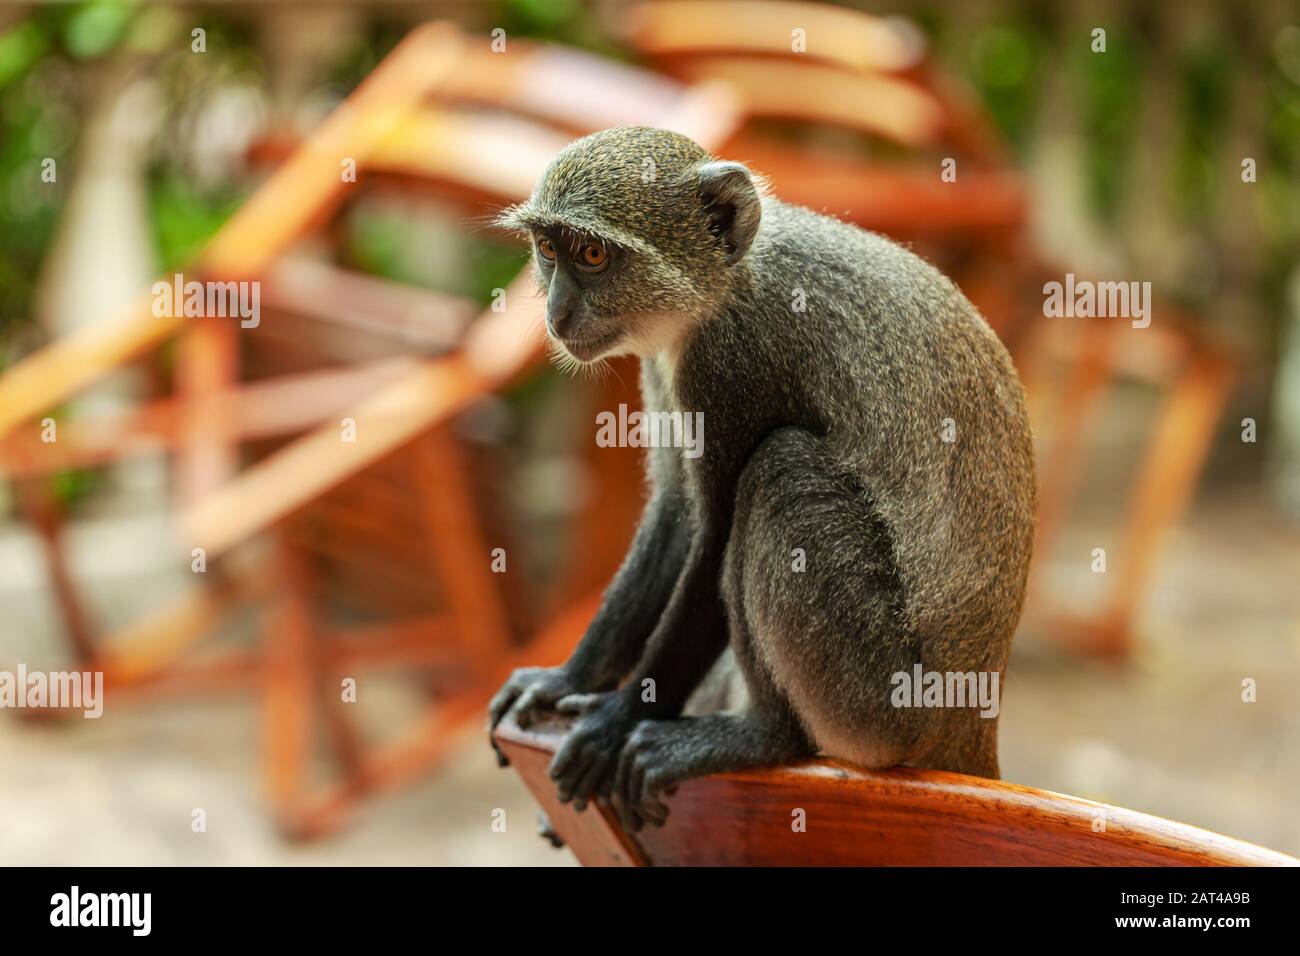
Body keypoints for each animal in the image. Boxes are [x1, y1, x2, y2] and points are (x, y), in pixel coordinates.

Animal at [488, 125, 1034, 832]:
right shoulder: (667, 371)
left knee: (779, 469)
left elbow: (715, 536)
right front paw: (568, 679)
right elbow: (678, 517)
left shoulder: (734, 362)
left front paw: (616, 718)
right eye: (549, 250)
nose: (556, 314)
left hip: (882, 705)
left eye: (592, 253)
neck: (723, 284)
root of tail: (970, 726)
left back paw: (764, 734)